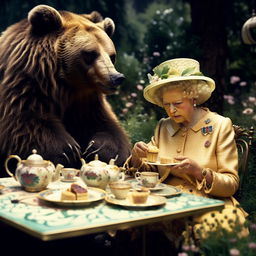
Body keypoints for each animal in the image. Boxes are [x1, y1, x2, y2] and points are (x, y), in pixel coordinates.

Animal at [0, 5, 130, 176]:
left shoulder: (88, 103)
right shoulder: (23, 91)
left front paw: (98, 149)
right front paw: (68, 151)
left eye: (112, 55)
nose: (116, 77)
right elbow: (25, 123)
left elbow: (109, 128)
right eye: (90, 54)